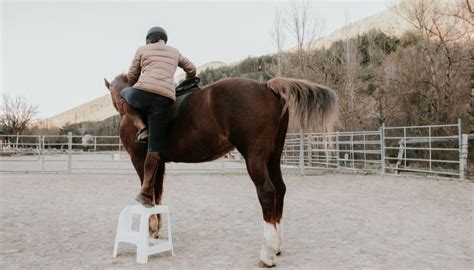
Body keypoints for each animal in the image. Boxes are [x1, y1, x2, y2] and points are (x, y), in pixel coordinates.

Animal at [105, 74, 338, 268]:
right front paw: (155, 228)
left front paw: (151, 225)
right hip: (273, 156)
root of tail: (265, 85)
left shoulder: (139, 159)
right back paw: (278, 245)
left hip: (254, 156)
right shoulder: (159, 161)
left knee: (267, 192)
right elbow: (157, 193)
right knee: (280, 190)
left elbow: (149, 191)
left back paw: (267, 253)